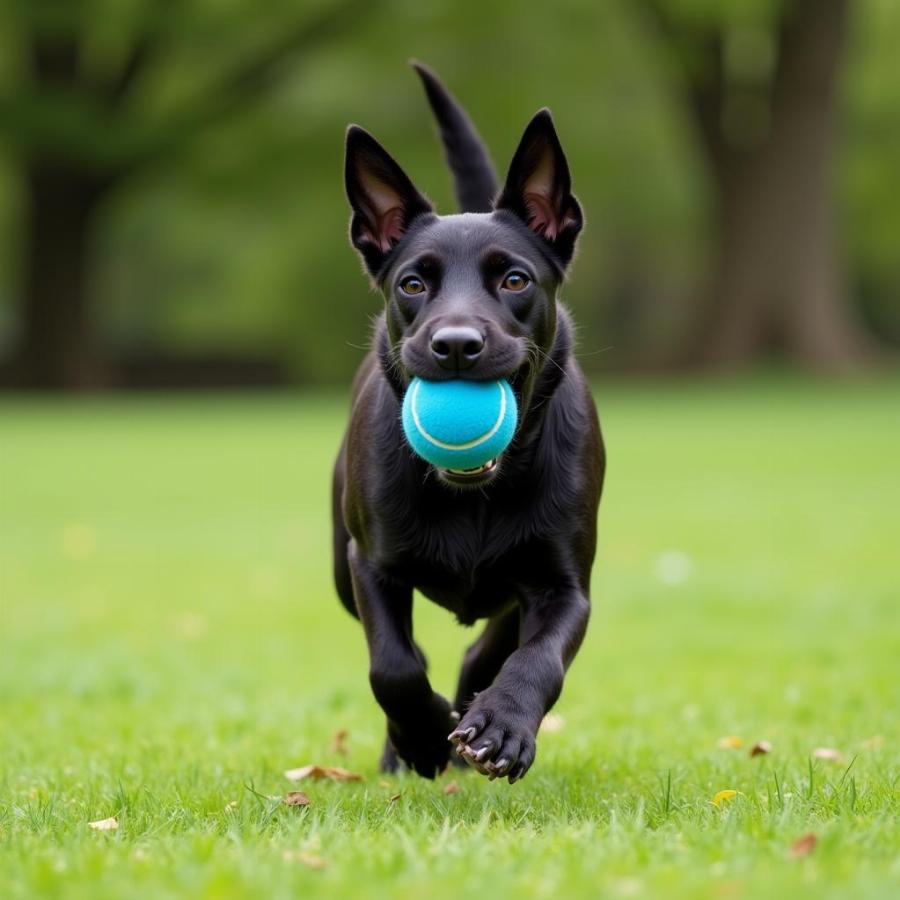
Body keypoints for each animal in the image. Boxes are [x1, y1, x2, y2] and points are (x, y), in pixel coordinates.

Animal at [332, 61, 604, 780]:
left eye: (514, 280)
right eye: (412, 284)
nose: (456, 345)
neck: (476, 491)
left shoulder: (566, 581)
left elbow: (537, 658)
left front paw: (500, 726)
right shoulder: (371, 564)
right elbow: (393, 666)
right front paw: (423, 736)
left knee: (489, 646)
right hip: (340, 568)